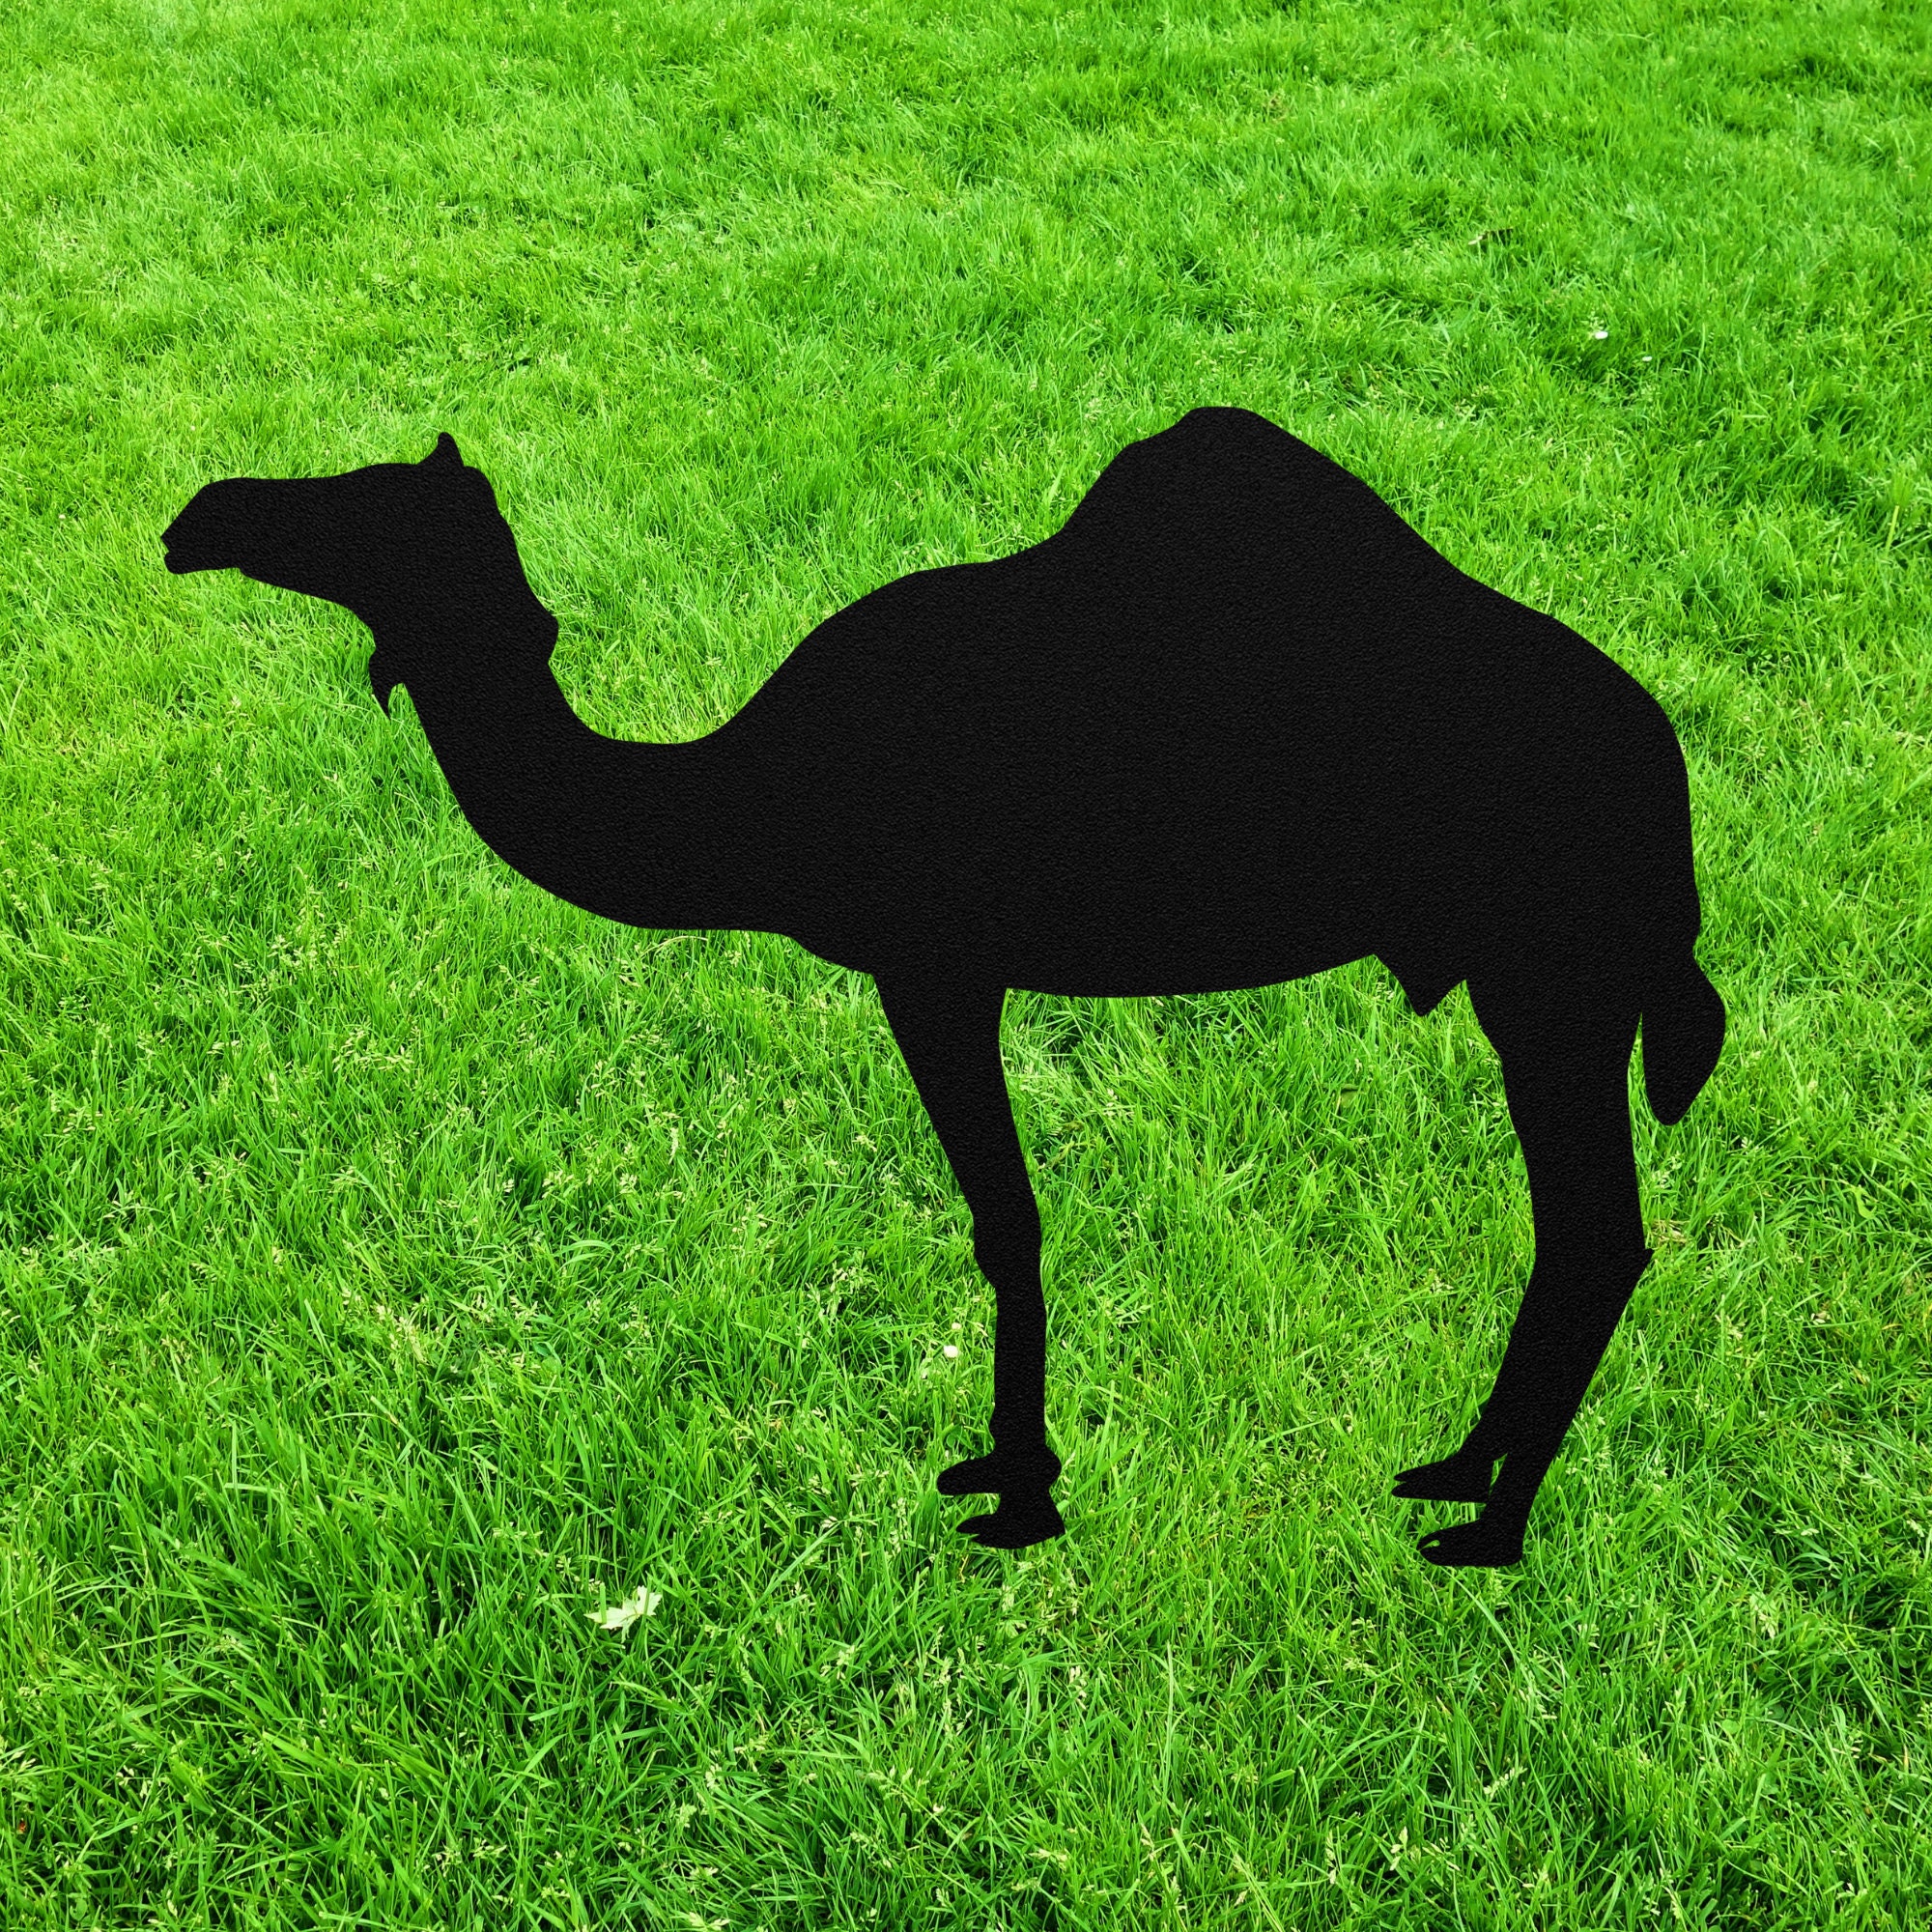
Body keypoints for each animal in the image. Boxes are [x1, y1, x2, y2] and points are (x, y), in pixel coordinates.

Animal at [163, 408, 1726, 1566]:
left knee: (1597, 1229)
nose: (200, 514)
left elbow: (1004, 1223)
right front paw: (1009, 1468)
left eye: (368, 509)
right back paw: (1456, 1469)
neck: (749, 798)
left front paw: (1016, 1496)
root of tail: (1664, 771)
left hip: (1556, 974)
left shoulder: (932, 963)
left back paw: (1491, 1523)